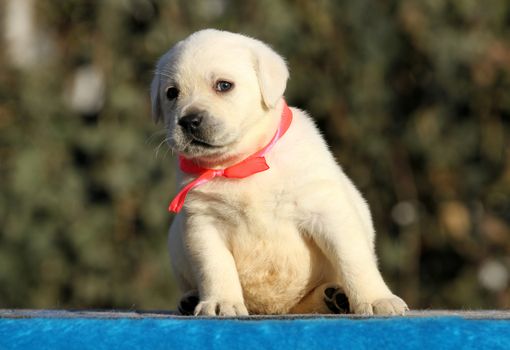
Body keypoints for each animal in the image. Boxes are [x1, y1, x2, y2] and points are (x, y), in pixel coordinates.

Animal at [149, 28, 408, 316]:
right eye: (172, 93)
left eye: (224, 85)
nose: (189, 120)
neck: (243, 164)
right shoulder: (203, 223)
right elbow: (215, 267)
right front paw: (220, 302)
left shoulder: (326, 211)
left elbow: (353, 259)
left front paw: (376, 299)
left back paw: (335, 297)